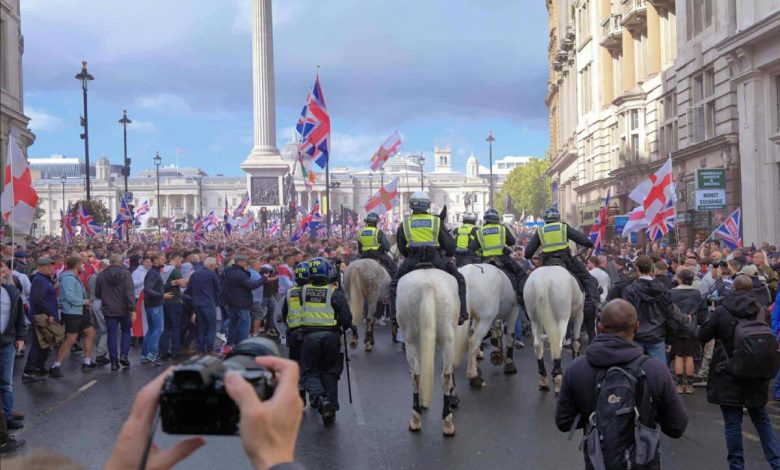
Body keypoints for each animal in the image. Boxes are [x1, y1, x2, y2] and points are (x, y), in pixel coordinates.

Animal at [397, 268, 464, 436]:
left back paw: (417, 418)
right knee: (445, 375)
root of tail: (427, 286)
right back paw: (446, 421)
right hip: (447, 339)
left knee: (416, 376)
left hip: (412, 340)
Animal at [523, 265, 584, 395]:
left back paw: (543, 380)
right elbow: (576, 342)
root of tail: (543, 280)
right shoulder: (579, 315)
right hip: (562, 318)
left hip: (534, 319)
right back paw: (558, 380)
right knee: (558, 344)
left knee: (538, 345)